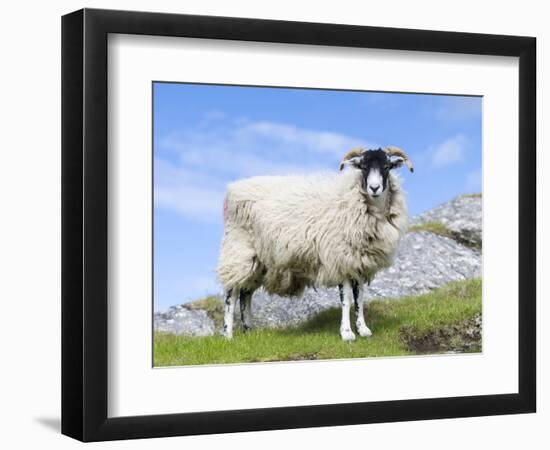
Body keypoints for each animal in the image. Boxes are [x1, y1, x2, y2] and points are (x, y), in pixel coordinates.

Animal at [216, 146, 414, 340]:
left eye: (387, 167)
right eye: (363, 167)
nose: (374, 188)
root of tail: (233, 189)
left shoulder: (357, 262)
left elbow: (359, 298)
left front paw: (363, 329)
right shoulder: (340, 259)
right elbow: (346, 299)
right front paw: (347, 333)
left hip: (259, 261)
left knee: (246, 293)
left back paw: (249, 331)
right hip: (238, 251)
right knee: (232, 294)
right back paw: (228, 334)